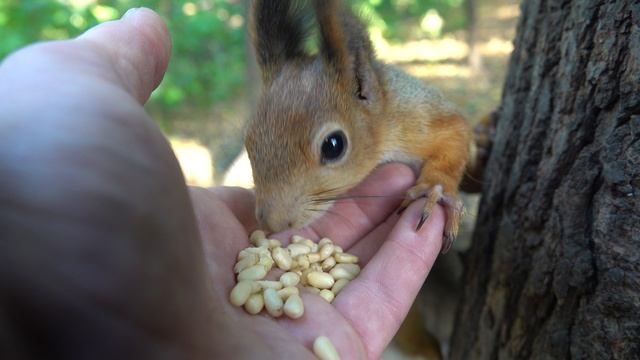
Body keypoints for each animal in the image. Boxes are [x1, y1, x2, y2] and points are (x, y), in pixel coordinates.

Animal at [245, 0, 476, 253]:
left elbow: (456, 134)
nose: (272, 223)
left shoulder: (420, 117)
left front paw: (435, 188)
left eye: (333, 146)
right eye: (248, 142)